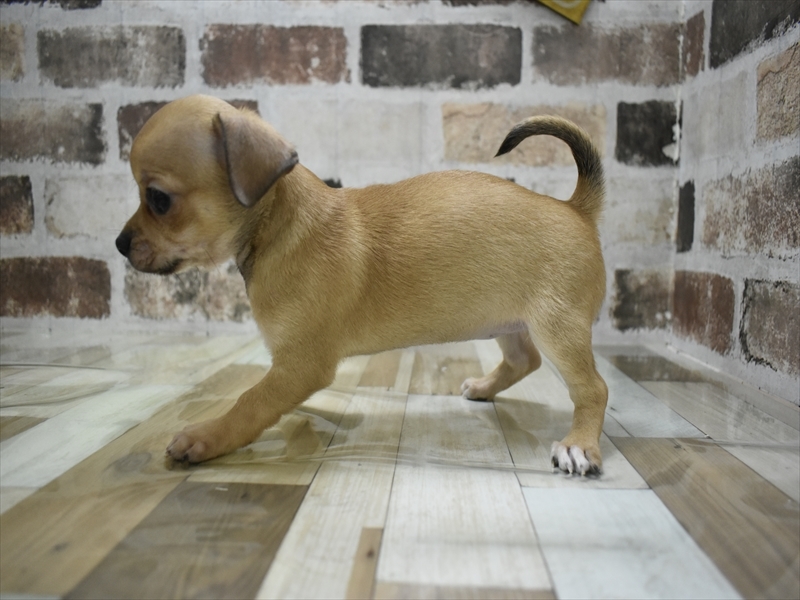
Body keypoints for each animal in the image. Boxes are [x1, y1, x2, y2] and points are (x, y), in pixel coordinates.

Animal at [115, 95, 608, 475]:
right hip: (508, 321)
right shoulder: (291, 370)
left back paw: (580, 444)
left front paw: (208, 435)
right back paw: (485, 387)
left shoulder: (300, 365)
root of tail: (576, 207)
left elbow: (251, 401)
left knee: (592, 388)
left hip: (557, 329)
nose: (119, 244)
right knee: (525, 360)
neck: (277, 225)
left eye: (158, 199)